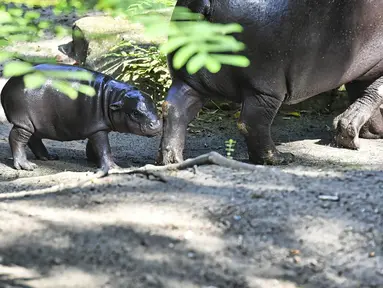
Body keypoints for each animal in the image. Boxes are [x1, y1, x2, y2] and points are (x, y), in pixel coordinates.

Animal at [0, 63, 162, 173]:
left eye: (155, 106)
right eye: (135, 113)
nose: (156, 124)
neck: (113, 97)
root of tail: (8, 84)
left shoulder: (96, 127)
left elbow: (95, 146)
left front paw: (94, 161)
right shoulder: (97, 129)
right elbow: (104, 148)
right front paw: (114, 167)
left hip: (34, 122)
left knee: (33, 138)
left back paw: (49, 157)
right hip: (24, 121)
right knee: (17, 138)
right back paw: (26, 166)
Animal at [158, 0, 383, 166]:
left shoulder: (362, 70)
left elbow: (363, 94)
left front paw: (368, 132)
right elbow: (374, 93)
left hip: (188, 80)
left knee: (174, 108)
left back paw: (171, 160)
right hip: (265, 89)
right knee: (252, 122)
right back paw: (279, 158)